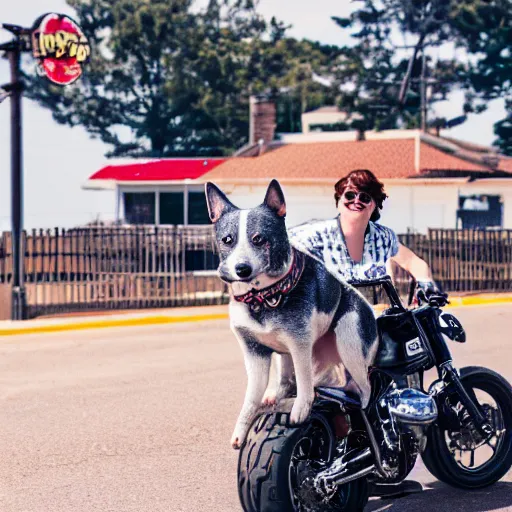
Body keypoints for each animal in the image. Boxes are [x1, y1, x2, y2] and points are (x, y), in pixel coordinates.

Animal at [205, 179, 380, 448]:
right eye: (227, 240)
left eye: (259, 239)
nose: (241, 269)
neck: (262, 297)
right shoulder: (254, 353)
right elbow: (251, 397)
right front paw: (242, 429)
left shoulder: (300, 344)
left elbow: (304, 379)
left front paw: (301, 409)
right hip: (287, 354)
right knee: (287, 380)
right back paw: (275, 394)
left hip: (349, 341)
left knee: (365, 388)